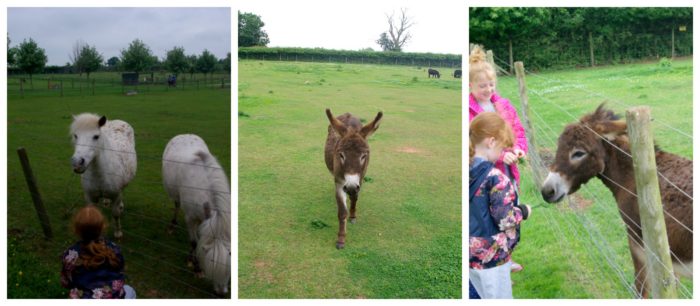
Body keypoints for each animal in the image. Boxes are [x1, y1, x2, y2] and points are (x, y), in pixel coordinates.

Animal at [163, 134, 231, 296]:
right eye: (210, 261)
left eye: (231, 256)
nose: (221, 293)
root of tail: (184, 134)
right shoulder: (190, 218)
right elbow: (194, 242)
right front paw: (196, 268)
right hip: (175, 195)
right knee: (176, 205)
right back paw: (172, 226)